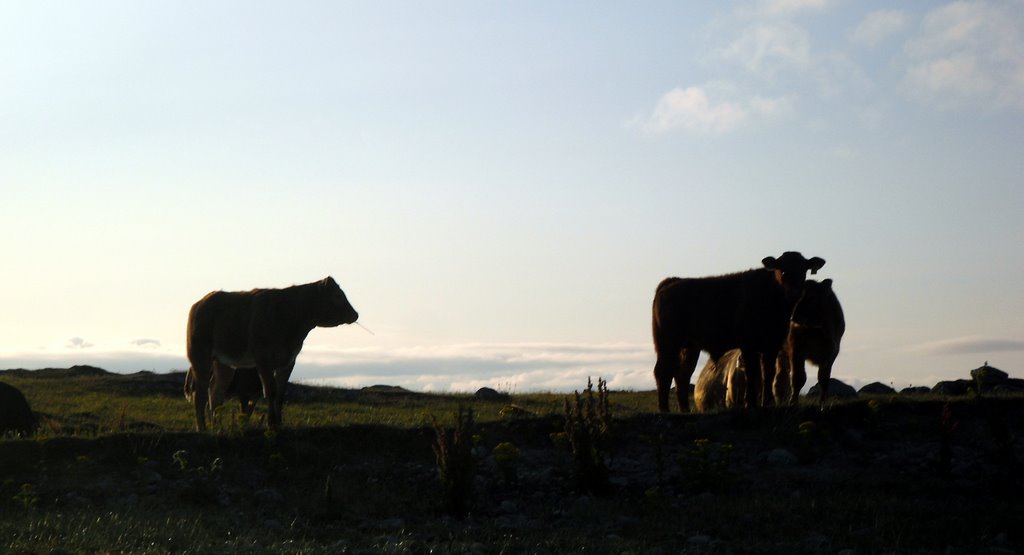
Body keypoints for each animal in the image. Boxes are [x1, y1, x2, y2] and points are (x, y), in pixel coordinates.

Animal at [651, 251, 827, 413]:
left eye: (803, 271)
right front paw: (751, 403)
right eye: (783, 270)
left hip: (690, 346)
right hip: (667, 342)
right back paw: (664, 409)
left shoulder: (772, 344)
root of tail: (672, 281)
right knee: (663, 371)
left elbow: (768, 373)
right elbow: (753, 373)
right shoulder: (748, 344)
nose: (794, 292)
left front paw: (767, 402)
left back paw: (685, 410)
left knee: (682, 375)